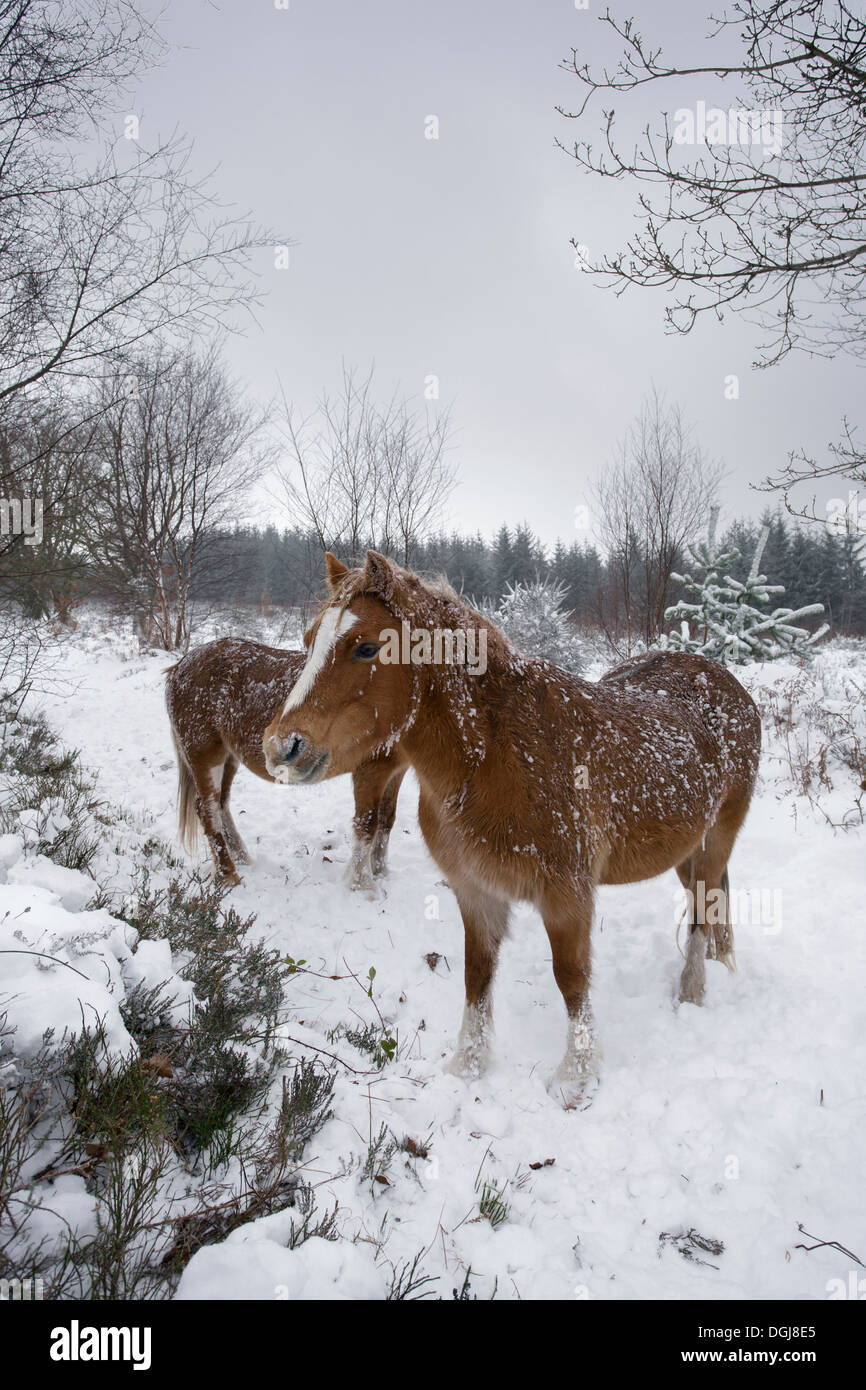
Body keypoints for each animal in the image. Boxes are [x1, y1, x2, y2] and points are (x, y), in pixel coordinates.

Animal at [167, 639, 408, 889]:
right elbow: (368, 823)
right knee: (208, 810)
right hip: (205, 755)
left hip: (229, 757)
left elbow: (387, 818)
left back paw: (242, 858)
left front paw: (380, 871)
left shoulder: (397, 770)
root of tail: (180, 666)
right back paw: (228, 876)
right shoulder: (370, 771)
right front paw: (361, 884)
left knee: (221, 803)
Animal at [262, 553, 756, 1106]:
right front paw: (468, 1065)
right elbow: (477, 975)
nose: (282, 748)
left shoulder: (567, 895)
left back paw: (691, 990)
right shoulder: (475, 890)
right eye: (309, 641)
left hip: (717, 837)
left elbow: (571, 979)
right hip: (684, 847)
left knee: (704, 905)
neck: (496, 758)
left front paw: (575, 1077)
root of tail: (728, 684)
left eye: (366, 646)